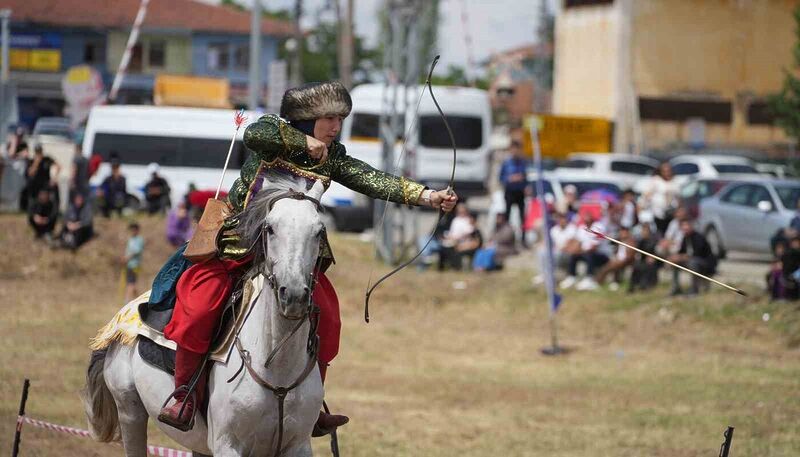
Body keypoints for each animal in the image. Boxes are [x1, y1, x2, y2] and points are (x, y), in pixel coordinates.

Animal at [82, 176, 328, 454]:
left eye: (319, 231)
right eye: (270, 228)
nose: (294, 295)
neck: (276, 370)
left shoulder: (298, 446)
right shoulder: (227, 445)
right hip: (129, 412)